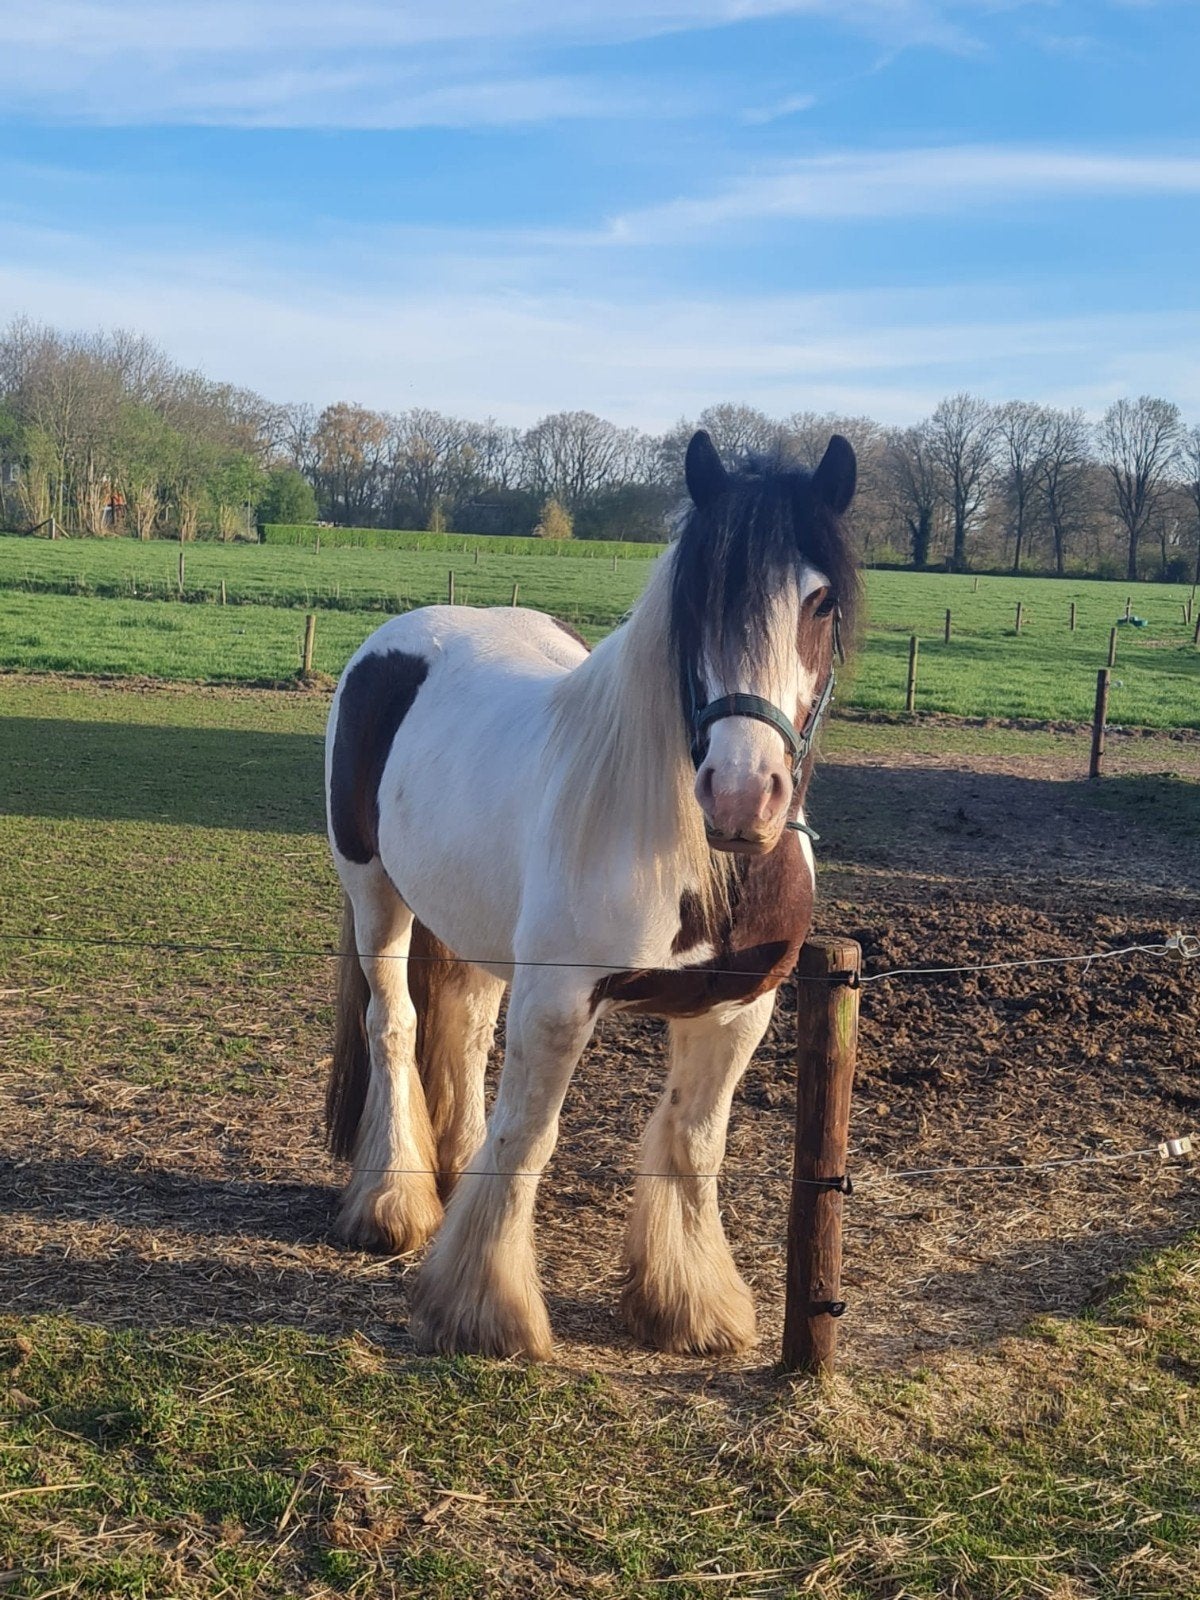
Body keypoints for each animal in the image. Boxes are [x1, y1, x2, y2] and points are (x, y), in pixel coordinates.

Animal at [323, 428, 859, 1359]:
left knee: (463, 1031)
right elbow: (532, 1135)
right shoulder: (558, 1002)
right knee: (396, 1025)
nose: (740, 796)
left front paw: (689, 1305)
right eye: (695, 597)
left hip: (476, 931)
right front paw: (484, 1310)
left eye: (820, 601)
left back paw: (452, 1172)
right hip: (375, 894)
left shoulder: (738, 1009)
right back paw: (393, 1204)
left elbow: (693, 1141)